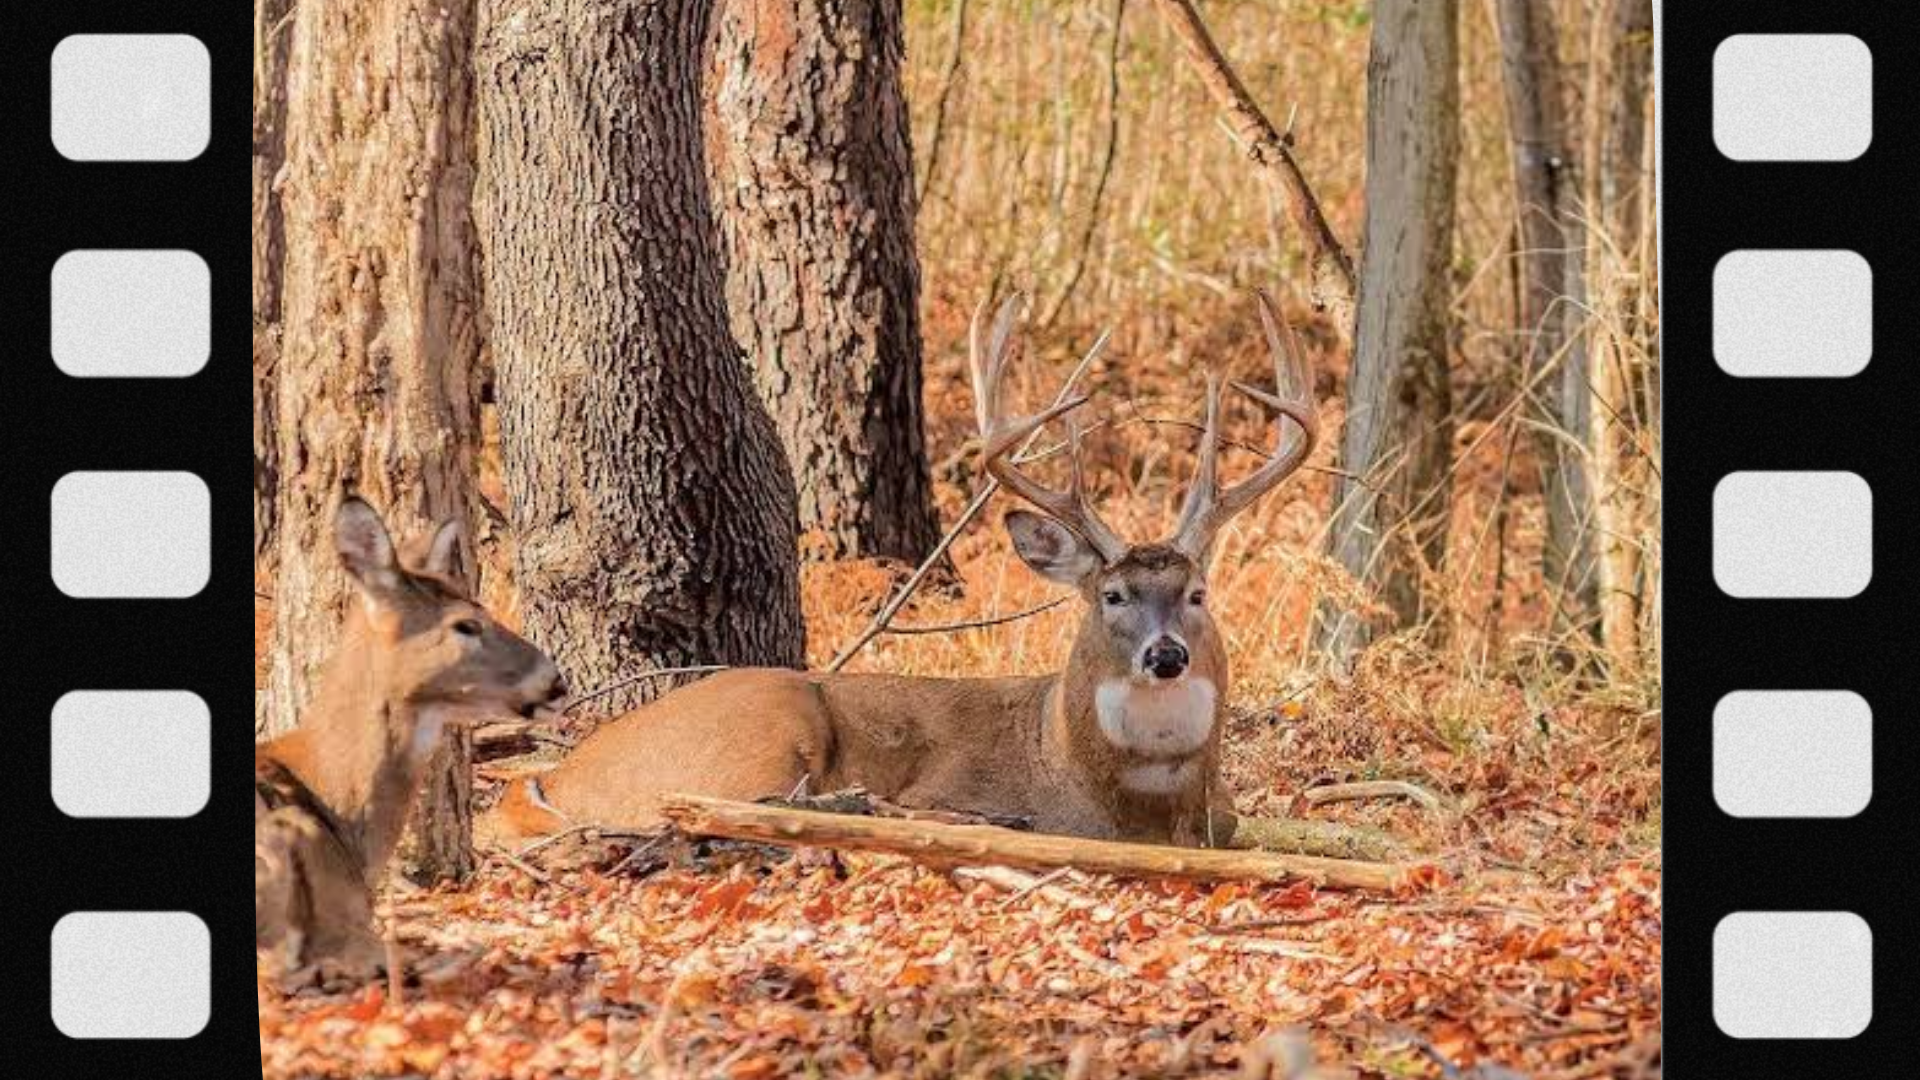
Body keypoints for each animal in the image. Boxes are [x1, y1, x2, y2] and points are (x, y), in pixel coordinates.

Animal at [481, 291, 1316, 849]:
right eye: (1112, 594)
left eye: (1197, 592)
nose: (1166, 654)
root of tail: (554, 774)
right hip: (768, 721)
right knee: (722, 804)